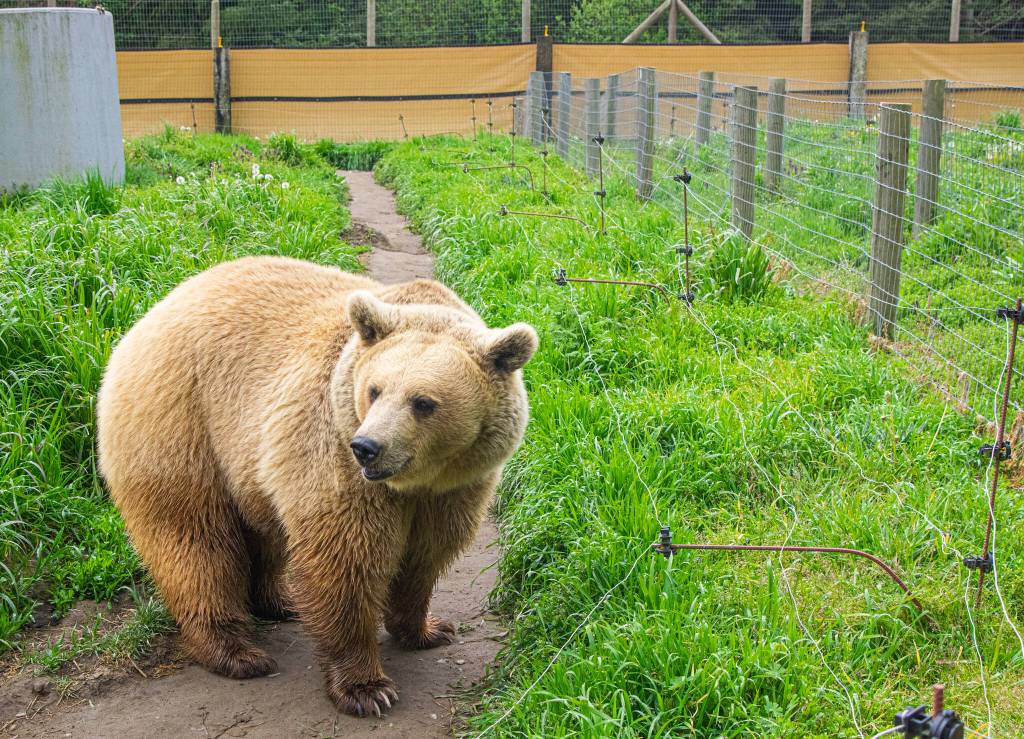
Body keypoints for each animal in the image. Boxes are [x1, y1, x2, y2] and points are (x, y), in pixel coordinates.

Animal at [96, 255, 537, 718]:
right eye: (374, 390)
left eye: (423, 402)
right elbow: (345, 562)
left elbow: (426, 556)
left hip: (246, 462)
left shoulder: (454, 489)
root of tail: (155, 308)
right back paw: (236, 651)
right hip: (182, 422)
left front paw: (429, 629)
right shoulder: (335, 455)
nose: (367, 447)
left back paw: (278, 601)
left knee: (263, 533)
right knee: (196, 542)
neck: (416, 482)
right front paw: (367, 688)